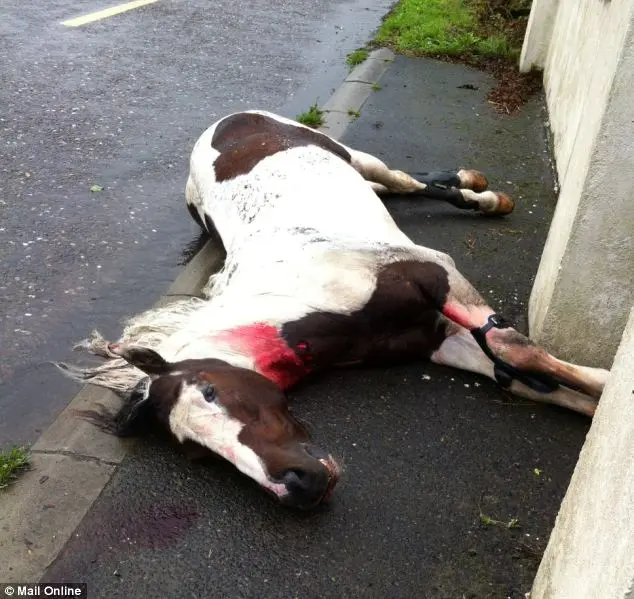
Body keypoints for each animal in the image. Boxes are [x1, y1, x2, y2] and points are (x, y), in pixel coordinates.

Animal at [59, 109, 608, 510]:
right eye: (196, 453)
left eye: (211, 391)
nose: (295, 486)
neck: (305, 299)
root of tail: (224, 121)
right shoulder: (437, 339)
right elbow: (517, 378)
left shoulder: (436, 274)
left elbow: (517, 353)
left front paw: (606, 389)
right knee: (394, 188)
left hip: (352, 156)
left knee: (402, 181)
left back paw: (486, 196)